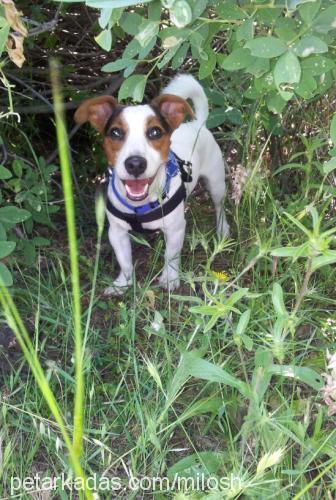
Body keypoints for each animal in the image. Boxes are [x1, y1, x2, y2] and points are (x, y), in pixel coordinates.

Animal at [75, 73, 230, 292]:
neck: (140, 205)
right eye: (115, 132)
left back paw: (222, 229)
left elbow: (170, 257)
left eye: (155, 132)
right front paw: (122, 284)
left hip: (216, 183)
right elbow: (124, 261)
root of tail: (197, 124)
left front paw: (170, 279)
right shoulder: (117, 232)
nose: (135, 164)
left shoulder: (175, 229)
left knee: (219, 206)